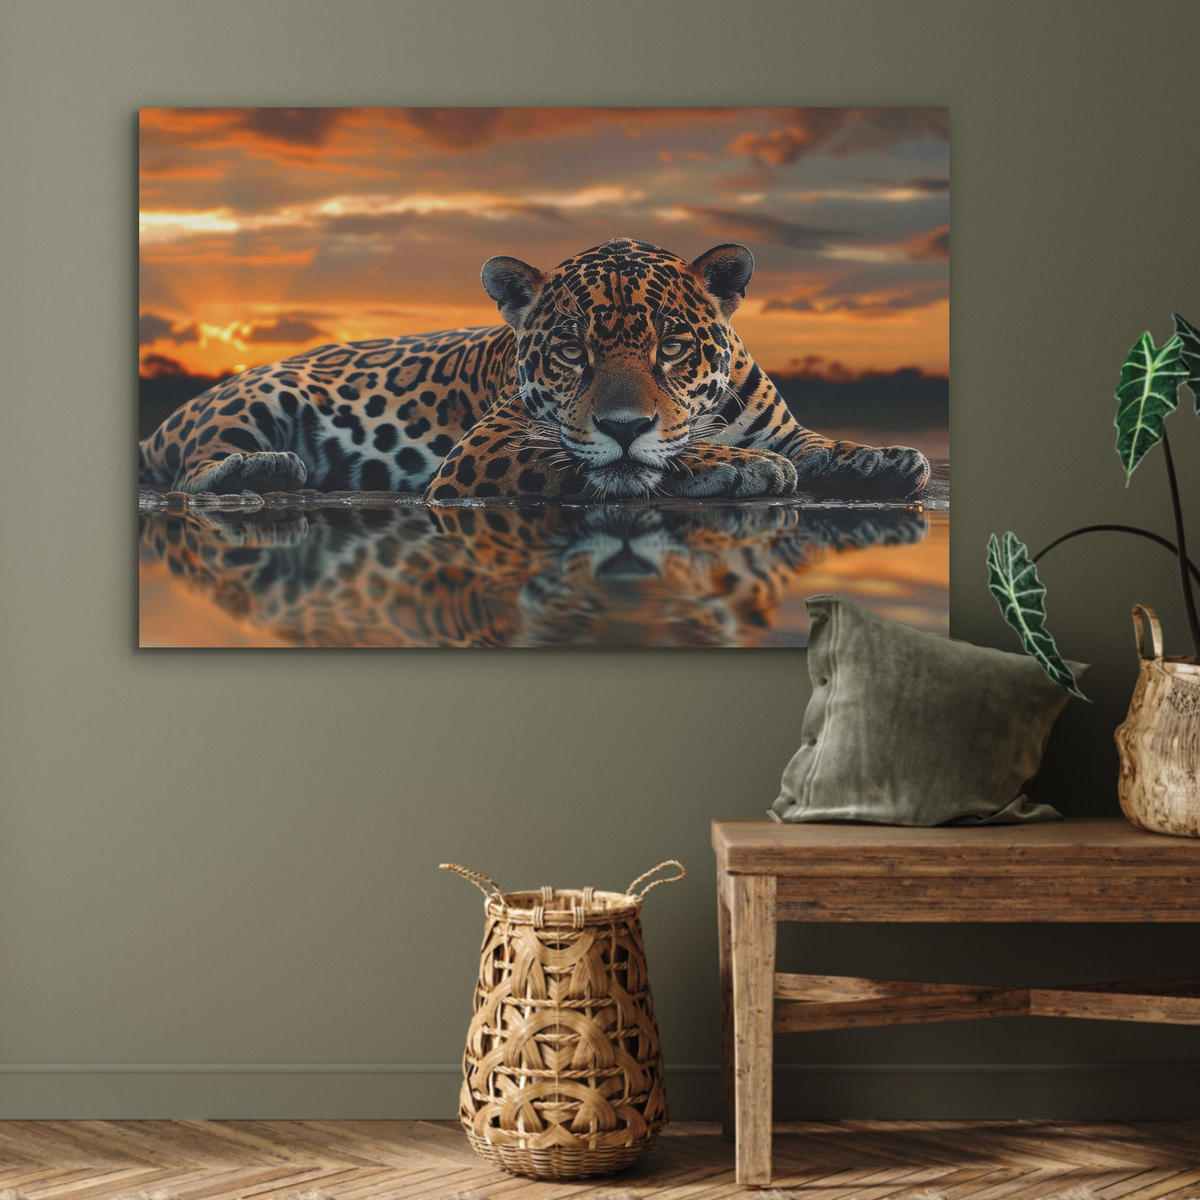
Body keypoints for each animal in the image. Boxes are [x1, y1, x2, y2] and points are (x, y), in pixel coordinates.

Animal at [138, 237, 930, 502]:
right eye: (572, 351)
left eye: (672, 347)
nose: (622, 423)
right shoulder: (489, 448)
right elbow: (638, 458)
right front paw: (739, 466)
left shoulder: (781, 426)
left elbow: (821, 444)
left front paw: (888, 459)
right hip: (258, 397)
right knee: (191, 470)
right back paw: (262, 468)